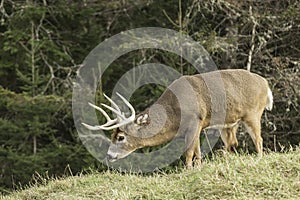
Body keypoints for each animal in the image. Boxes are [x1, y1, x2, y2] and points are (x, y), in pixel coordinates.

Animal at [81, 69, 272, 169]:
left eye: (121, 137)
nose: (109, 155)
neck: (173, 115)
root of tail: (266, 84)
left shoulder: (195, 120)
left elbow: (189, 151)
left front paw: (188, 170)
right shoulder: (198, 126)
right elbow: (197, 151)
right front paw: (198, 168)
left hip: (253, 113)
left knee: (259, 139)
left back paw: (259, 159)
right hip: (229, 123)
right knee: (233, 143)